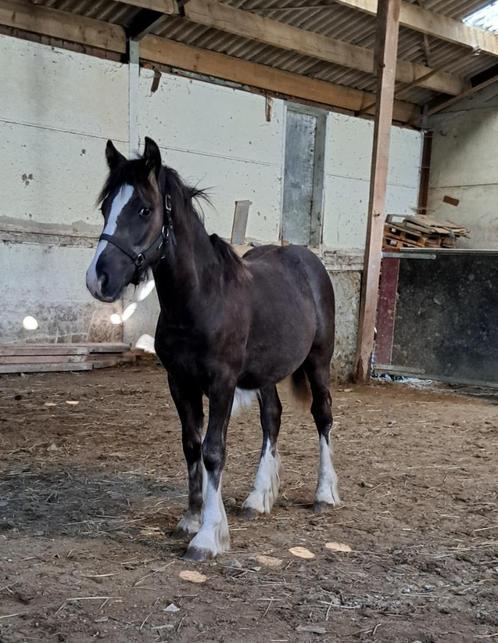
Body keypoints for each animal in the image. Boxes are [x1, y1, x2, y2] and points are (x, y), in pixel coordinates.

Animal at [86, 138, 342, 560]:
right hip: (265, 372)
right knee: (272, 418)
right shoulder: (180, 383)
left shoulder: (222, 383)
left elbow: (213, 451)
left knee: (322, 416)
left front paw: (208, 537)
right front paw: (191, 518)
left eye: (144, 209)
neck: (202, 300)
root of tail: (306, 259)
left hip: (319, 361)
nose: (98, 278)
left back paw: (324, 494)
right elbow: (191, 445)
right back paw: (258, 498)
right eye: (106, 207)